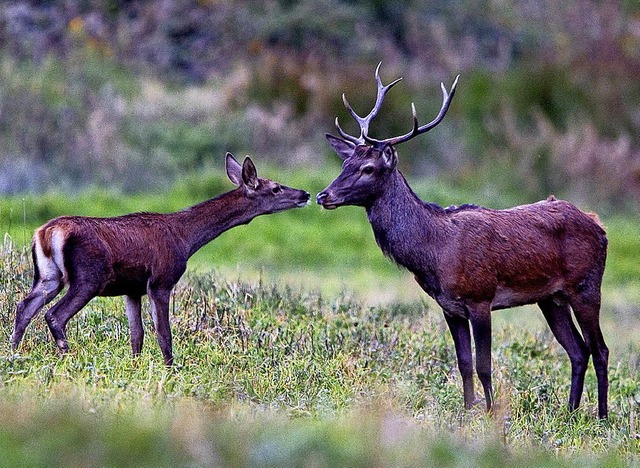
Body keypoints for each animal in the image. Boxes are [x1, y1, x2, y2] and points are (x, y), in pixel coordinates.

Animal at [11, 154, 308, 366]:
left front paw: (135, 367)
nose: (304, 194)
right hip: (88, 277)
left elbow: (137, 336)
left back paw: (14, 353)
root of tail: (46, 232)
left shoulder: (132, 290)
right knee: (54, 314)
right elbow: (164, 335)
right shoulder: (161, 281)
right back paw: (66, 355)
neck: (186, 239)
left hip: (48, 276)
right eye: (276, 188)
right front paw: (170, 370)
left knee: (24, 307)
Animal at [318, 64, 608, 418]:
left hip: (586, 286)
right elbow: (464, 364)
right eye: (345, 163)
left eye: (369, 168)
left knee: (600, 349)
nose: (323, 195)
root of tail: (599, 225)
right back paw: (569, 412)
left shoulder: (480, 298)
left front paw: (491, 413)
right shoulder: (450, 307)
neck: (435, 252)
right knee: (578, 351)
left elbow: (484, 365)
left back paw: (602, 416)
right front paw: (468, 411)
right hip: (551, 298)